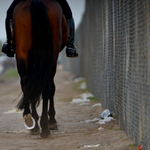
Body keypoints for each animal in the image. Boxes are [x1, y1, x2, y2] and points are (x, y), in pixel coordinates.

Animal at [13, 0, 68, 138]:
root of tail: (36, 1)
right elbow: (51, 88)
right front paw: (52, 120)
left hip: (22, 52)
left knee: (27, 82)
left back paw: (33, 123)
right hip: (51, 55)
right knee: (46, 85)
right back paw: (44, 126)